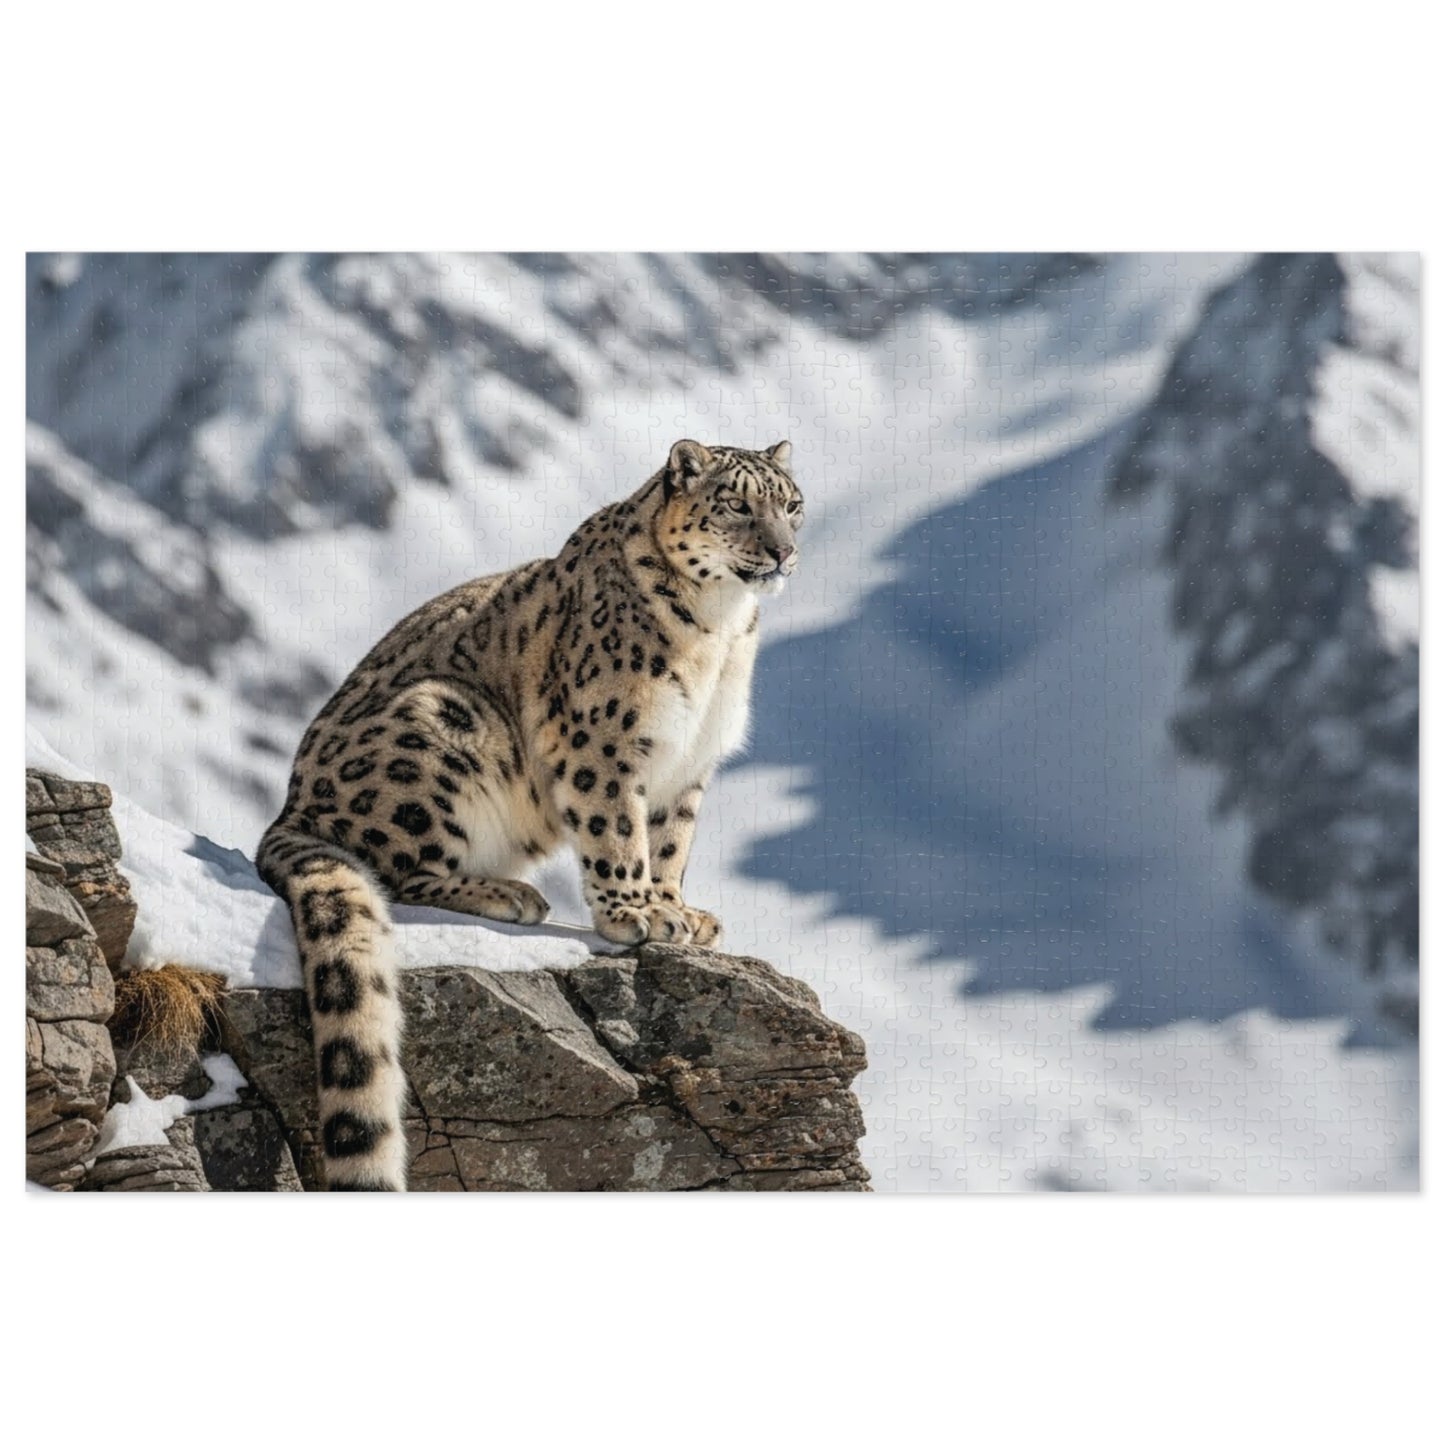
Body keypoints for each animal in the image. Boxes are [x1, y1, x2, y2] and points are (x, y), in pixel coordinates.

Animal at [255, 439, 805, 1189]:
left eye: (791, 504)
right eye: (737, 505)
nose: (782, 550)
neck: (720, 630)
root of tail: (289, 810)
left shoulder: (687, 764)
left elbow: (669, 842)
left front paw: (679, 912)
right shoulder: (603, 740)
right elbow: (615, 827)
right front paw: (633, 913)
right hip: (441, 724)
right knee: (394, 869)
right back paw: (508, 893)